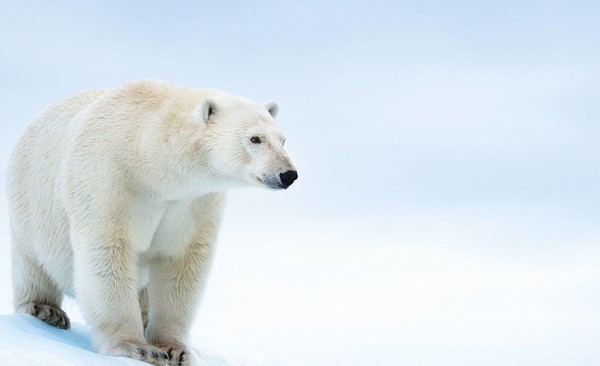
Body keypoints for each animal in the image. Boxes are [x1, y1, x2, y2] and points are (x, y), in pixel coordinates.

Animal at [8, 79, 298, 364]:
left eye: (283, 140)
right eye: (255, 138)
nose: (288, 174)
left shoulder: (192, 203)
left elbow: (182, 263)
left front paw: (174, 349)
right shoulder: (108, 180)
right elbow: (108, 252)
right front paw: (135, 347)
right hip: (31, 202)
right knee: (31, 263)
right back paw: (45, 309)